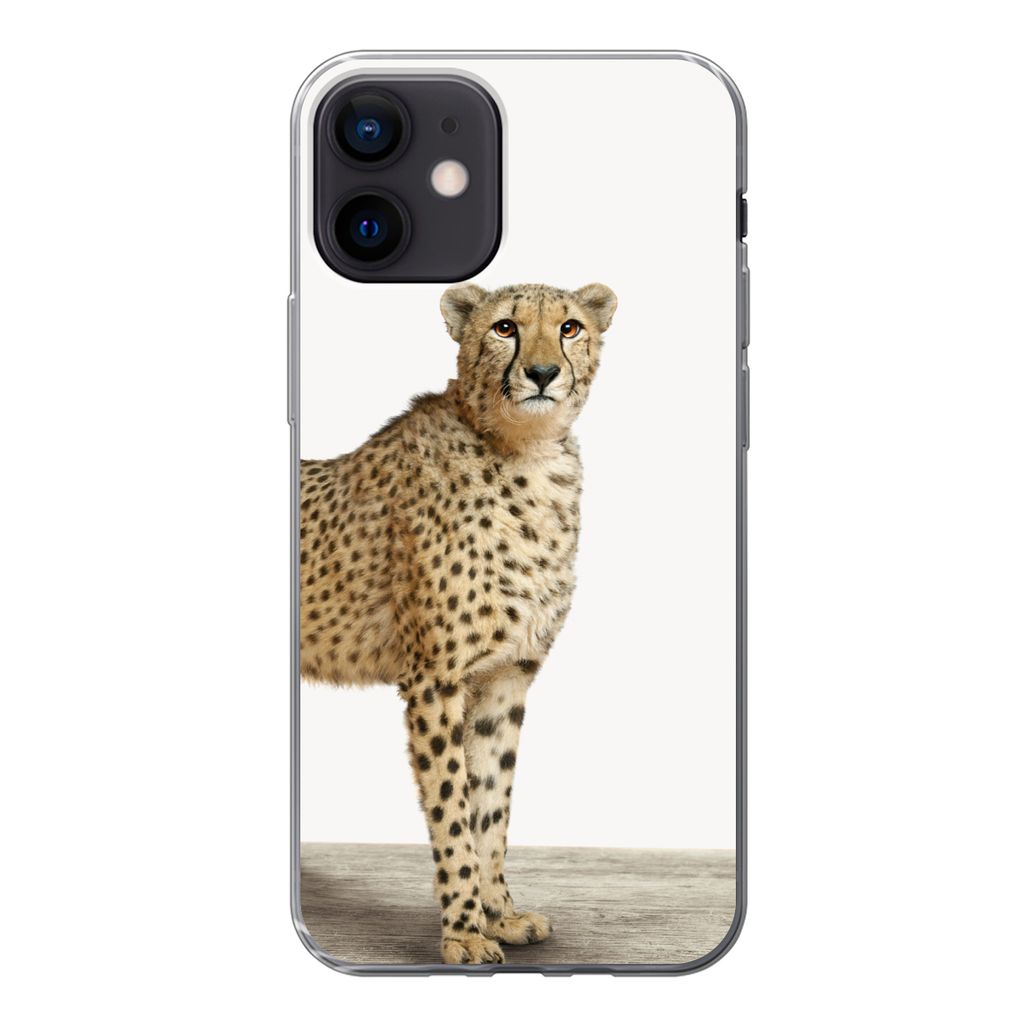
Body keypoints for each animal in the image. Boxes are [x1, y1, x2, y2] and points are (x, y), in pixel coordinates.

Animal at [299, 281, 617, 964]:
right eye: (505, 327)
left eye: (571, 327)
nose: (543, 372)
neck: (527, 455)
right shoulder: (435, 680)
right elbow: (451, 806)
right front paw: (465, 931)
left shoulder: (506, 676)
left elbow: (491, 803)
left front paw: (501, 914)